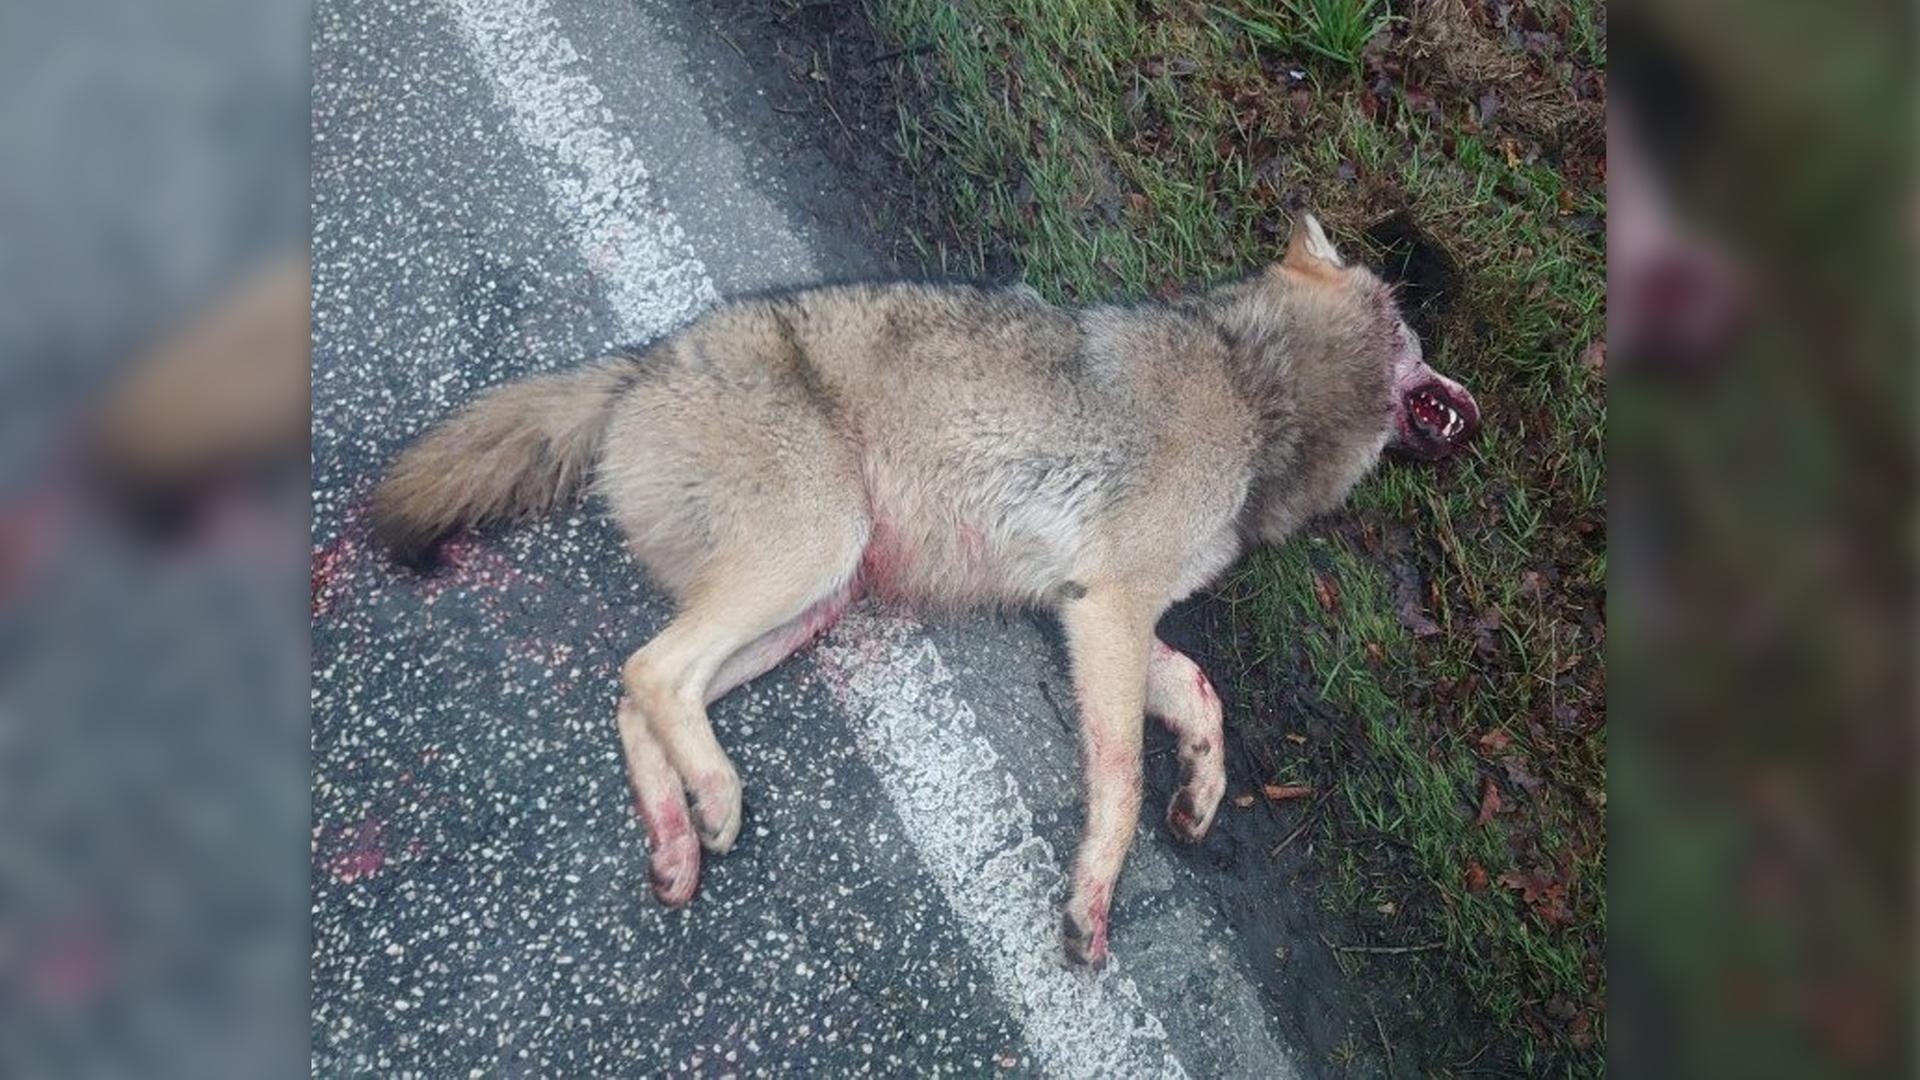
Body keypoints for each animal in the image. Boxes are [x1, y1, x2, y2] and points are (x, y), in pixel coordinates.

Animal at [369, 213, 1480, 967]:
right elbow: (1121, 785)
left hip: (810, 606)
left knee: (636, 697)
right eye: (1421, 336)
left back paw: (678, 844)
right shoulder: (1111, 609)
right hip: (814, 556)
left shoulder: (1089, 609)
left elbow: (1202, 695)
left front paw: (1203, 792)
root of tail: (639, 367)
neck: (1262, 385)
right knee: (649, 670)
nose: (1470, 393)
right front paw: (1091, 909)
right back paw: (717, 798)